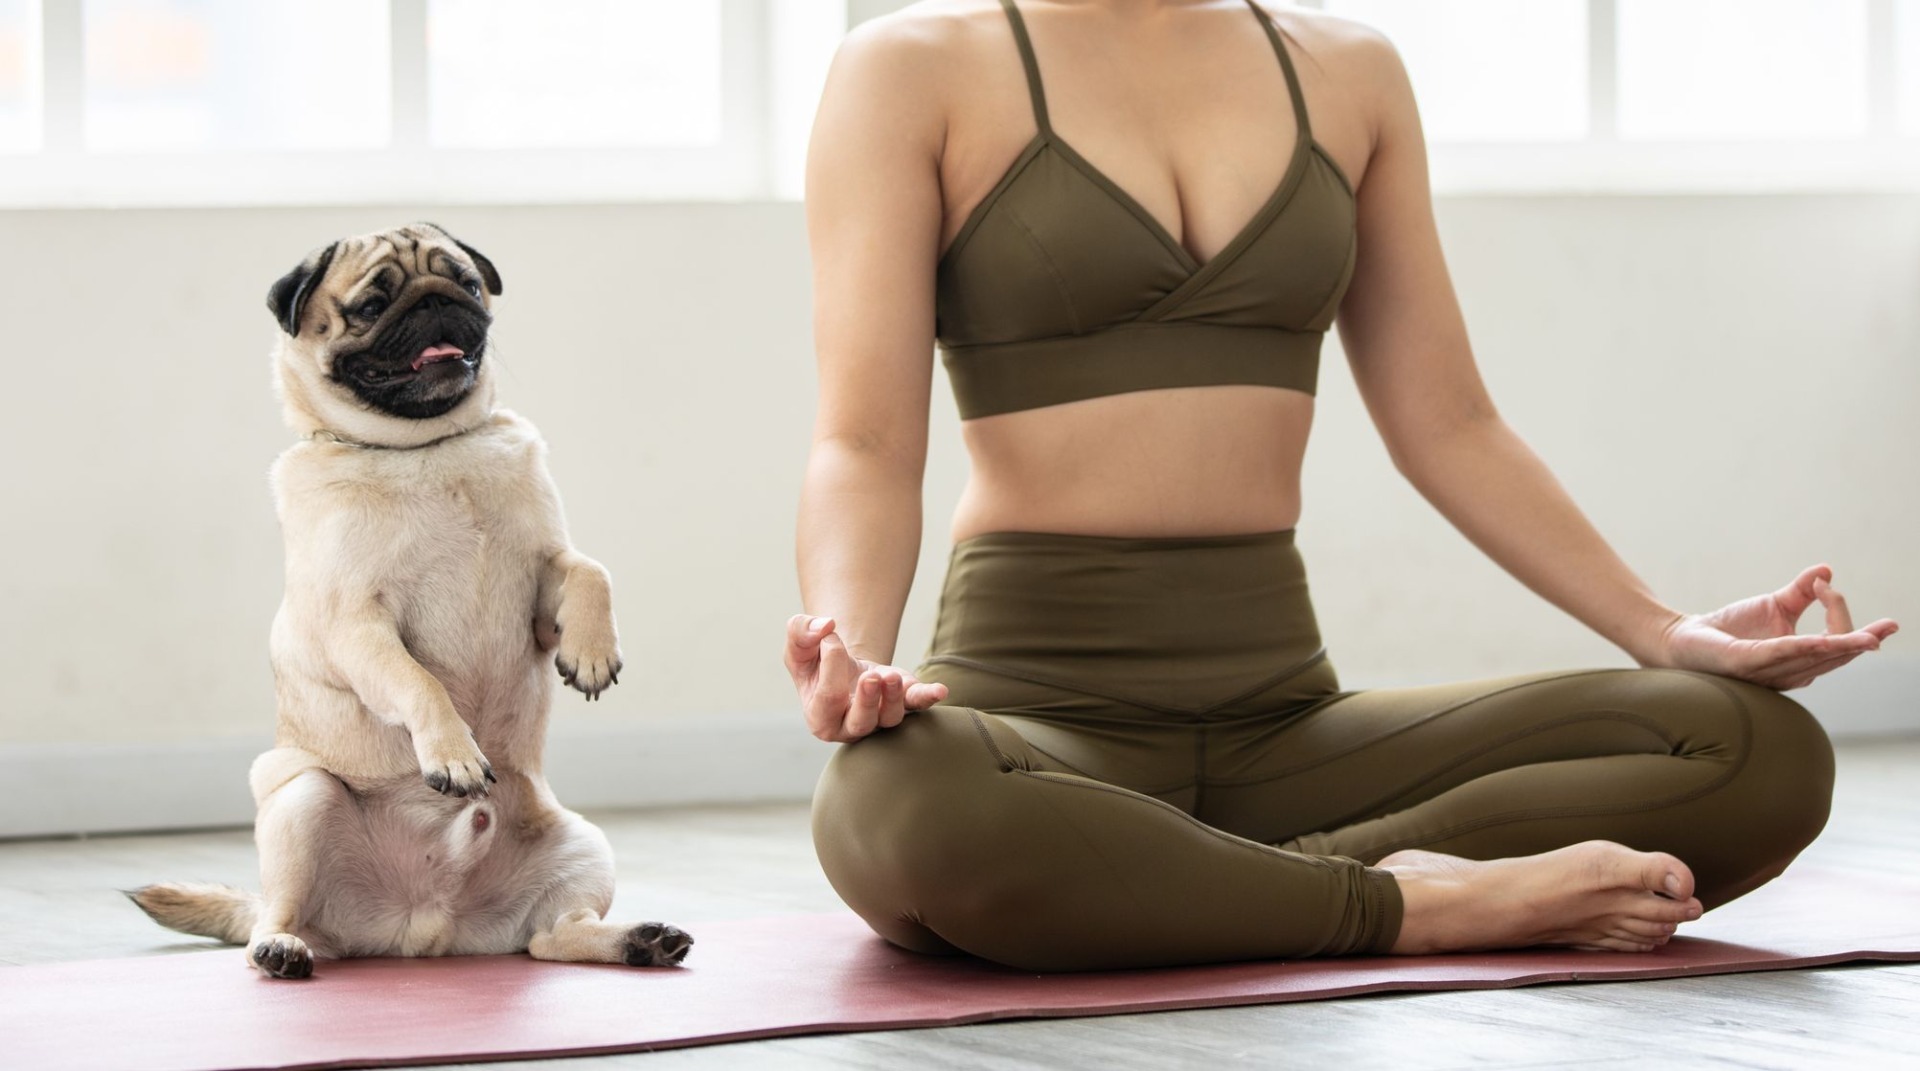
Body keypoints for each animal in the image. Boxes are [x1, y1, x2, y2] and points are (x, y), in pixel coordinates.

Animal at [133, 226, 691, 982]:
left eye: (467, 283)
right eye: (372, 304)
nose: (436, 301)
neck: (428, 450)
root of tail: (425, 927)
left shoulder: (541, 575)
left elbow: (588, 569)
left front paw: (591, 651)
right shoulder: (357, 622)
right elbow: (420, 684)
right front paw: (454, 755)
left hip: (583, 846)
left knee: (549, 939)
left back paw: (640, 940)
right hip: (303, 800)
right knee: (279, 918)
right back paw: (280, 948)